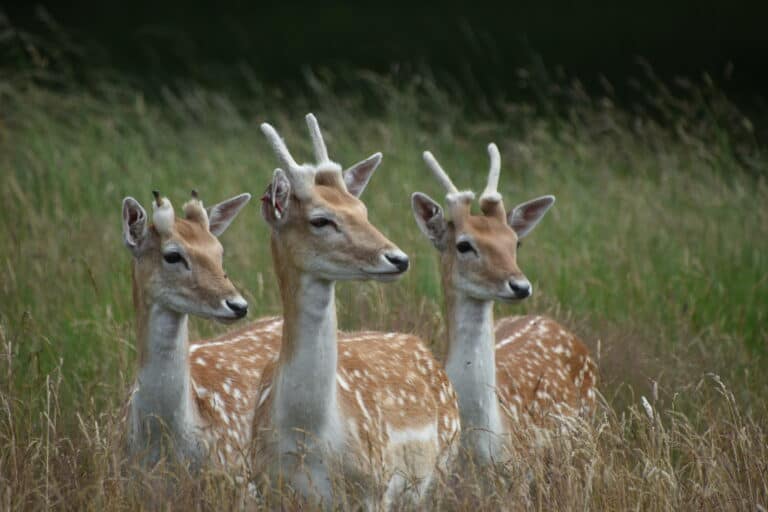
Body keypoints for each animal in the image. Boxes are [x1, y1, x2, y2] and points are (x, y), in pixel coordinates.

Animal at [249, 114, 460, 510]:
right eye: (320, 220)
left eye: (362, 210)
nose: (398, 258)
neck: (308, 434)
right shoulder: (267, 487)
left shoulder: (373, 487)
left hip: (440, 468)